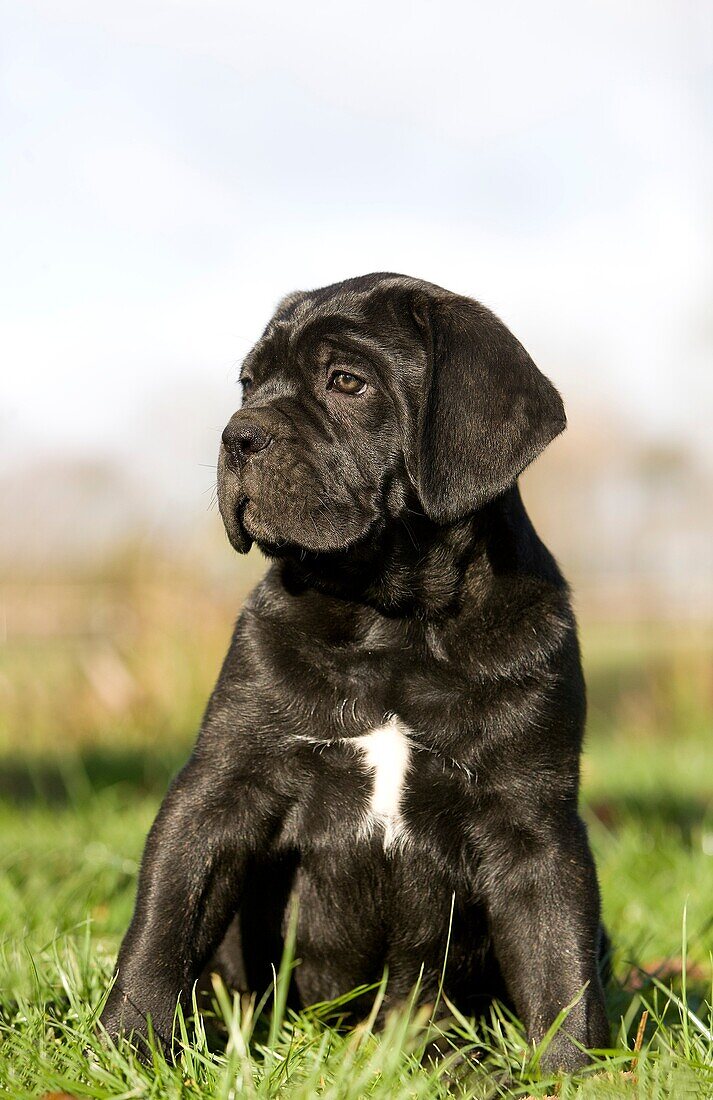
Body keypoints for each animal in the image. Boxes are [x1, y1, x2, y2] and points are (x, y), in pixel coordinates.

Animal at [100, 270, 611, 1069]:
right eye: (248, 383)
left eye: (347, 381)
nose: (237, 435)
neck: (392, 624)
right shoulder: (220, 789)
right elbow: (162, 928)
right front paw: (128, 1048)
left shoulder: (533, 820)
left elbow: (559, 966)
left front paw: (566, 1074)